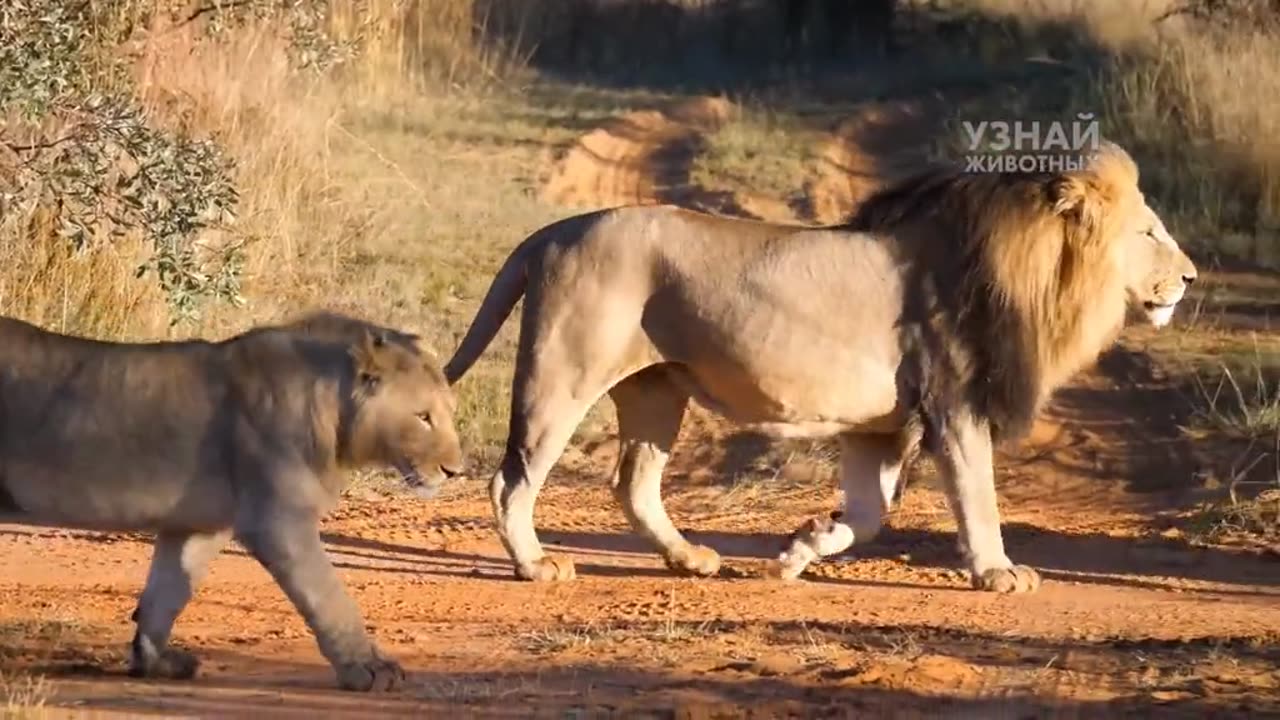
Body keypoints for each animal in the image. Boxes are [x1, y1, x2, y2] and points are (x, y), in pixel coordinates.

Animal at [0, 310, 463, 691]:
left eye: (449, 412)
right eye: (423, 417)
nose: (455, 470)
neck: (333, 410)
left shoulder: (198, 526)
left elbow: (168, 592)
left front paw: (154, 661)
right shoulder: (279, 521)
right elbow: (329, 596)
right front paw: (370, 669)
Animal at [445, 139, 1192, 589]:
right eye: (1149, 231)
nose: (1188, 278)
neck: (1032, 268)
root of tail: (554, 231)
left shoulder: (880, 427)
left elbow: (870, 515)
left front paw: (802, 546)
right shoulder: (954, 404)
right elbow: (977, 495)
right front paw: (998, 572)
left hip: (656, 389)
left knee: (634, 484)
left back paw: (690, 558)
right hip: (563, 374)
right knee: (511, 480)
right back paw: (537, 565)